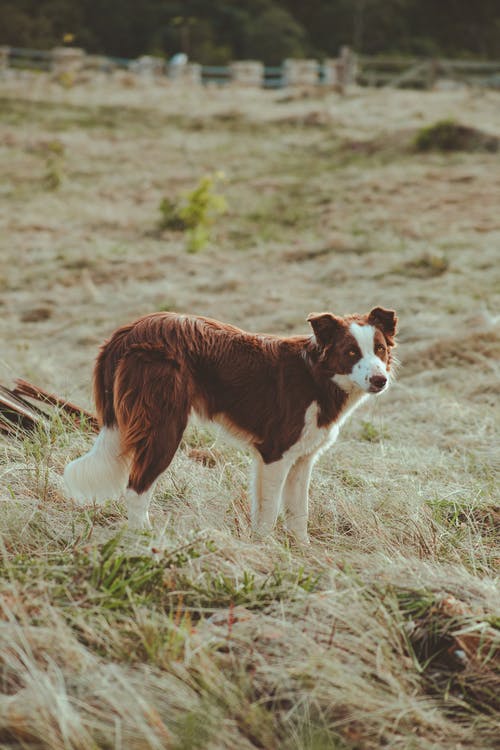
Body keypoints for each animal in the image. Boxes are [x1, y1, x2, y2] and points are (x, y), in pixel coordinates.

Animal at [63, 308, 398, 544]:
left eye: (380, 349)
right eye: (351, 352)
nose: (380, 380)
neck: (318, 375)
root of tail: (127, 331)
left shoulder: (302, 459)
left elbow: (296, 512)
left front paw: (301, 551)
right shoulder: (276, 454)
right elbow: (270, 511)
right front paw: (266, 550)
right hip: (165, 427)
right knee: (136, 488)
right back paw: (148, 540)